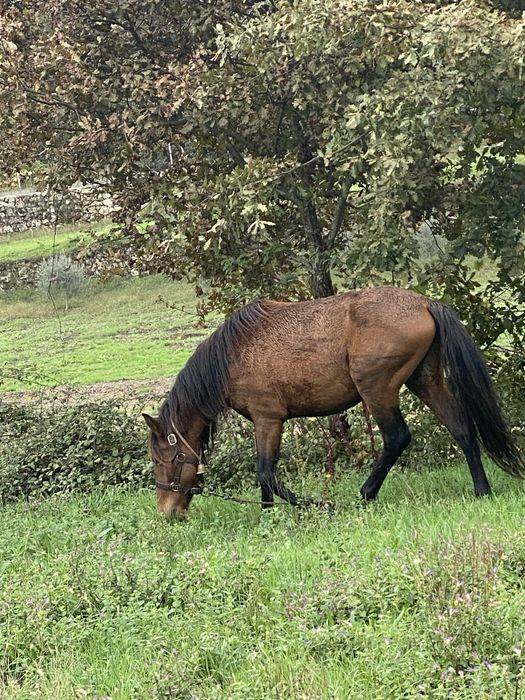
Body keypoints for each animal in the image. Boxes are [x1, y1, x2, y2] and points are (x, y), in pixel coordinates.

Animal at [142, 286, 524, 520]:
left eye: (168, 458)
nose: (167, 511)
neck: (233, 355)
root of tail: (425, 303)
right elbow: (266, 475)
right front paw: (268, 514)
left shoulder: (268, 419)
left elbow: (265, 471)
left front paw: (308, 506)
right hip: (424, 382)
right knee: (462, 430)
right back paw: (481, 489)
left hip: (378, 390)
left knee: (397, 438)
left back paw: (365, 494)